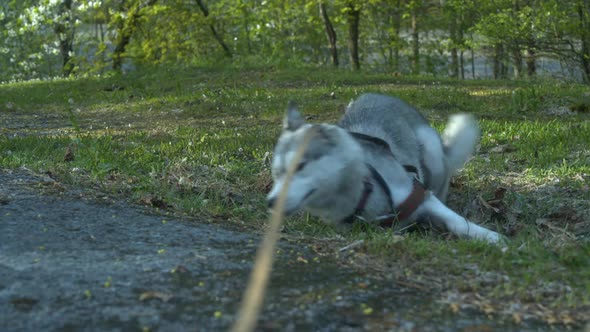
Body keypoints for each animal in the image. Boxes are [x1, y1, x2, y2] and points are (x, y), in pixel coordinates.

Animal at [268, 93, 504, 244]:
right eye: (277, 172)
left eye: (299, 166)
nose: (271, 201)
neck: (363, 190)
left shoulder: (420, 196)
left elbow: (458, 221)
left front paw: (490, 237)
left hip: (432, 151)